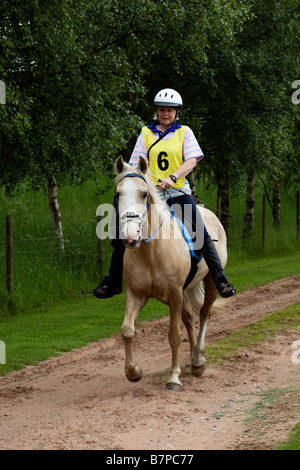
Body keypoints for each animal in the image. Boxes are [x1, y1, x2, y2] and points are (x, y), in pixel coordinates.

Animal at [115, 156, 227, 392]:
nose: (130, 235)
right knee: (189, 318)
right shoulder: (136, 294)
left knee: (204, 314)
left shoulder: (175, 295)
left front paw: (174, 378)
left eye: (144, 194)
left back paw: (198, 362)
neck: (151, 252)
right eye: (118, 194)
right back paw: (192, 360)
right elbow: (127, 330)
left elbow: (174, 336)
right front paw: (133, 372)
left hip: (211, 282)